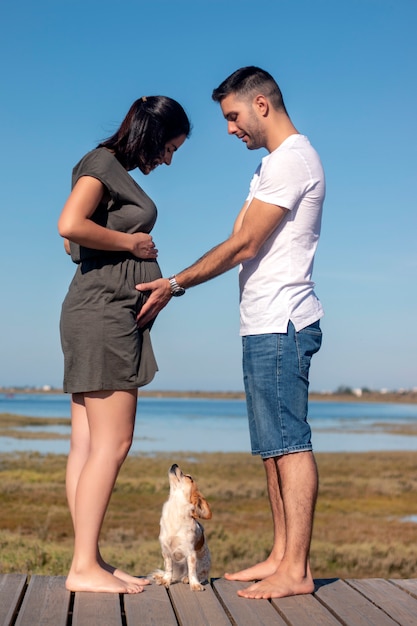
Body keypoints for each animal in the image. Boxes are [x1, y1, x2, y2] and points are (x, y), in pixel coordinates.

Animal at [152, 460, 211, 588]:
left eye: (189, 477)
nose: (175, 464)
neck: (175, 507)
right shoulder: (166, 551)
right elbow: (168, 569)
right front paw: (166, 580)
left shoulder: (190, 553)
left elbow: (192, 571)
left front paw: (194, 585)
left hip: (203, 567)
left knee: (200, 576)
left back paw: (187, 579)